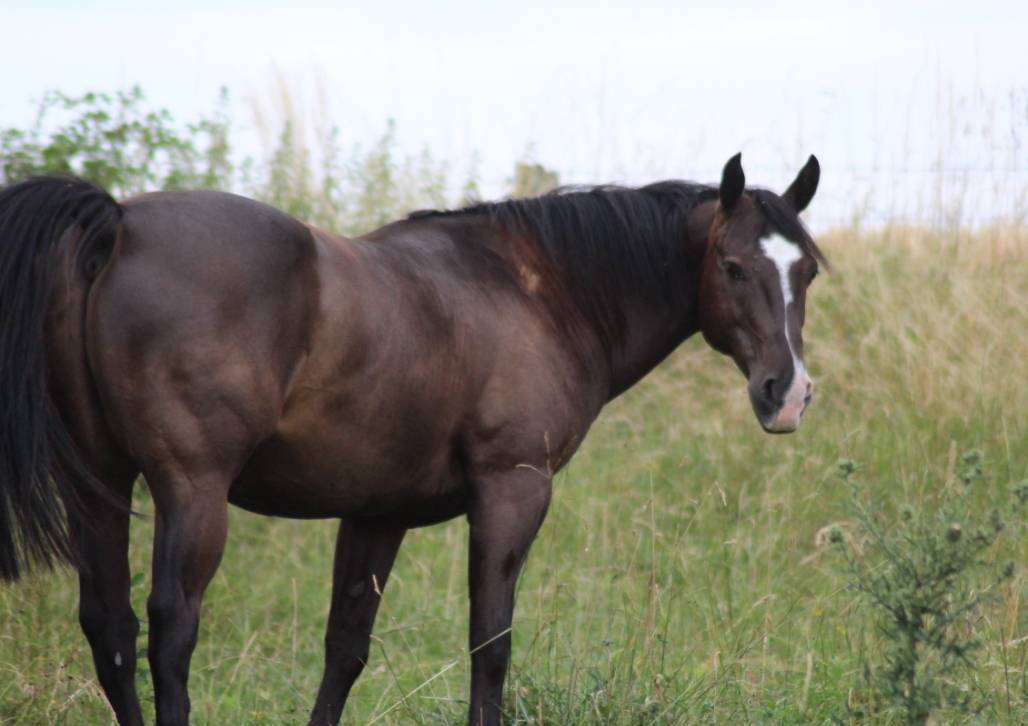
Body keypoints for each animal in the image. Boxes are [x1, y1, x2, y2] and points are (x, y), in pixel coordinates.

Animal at [0, 152, 824, 725]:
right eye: (731, 266)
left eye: (808, 271)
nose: (787, 393)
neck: (539, 291)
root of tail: (118, 223)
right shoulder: (512, 490)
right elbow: (490, 643)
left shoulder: (376, 515)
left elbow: (345, 649)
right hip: (190, 491)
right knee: (170, 631)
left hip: (99, 488)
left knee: (109, 627)